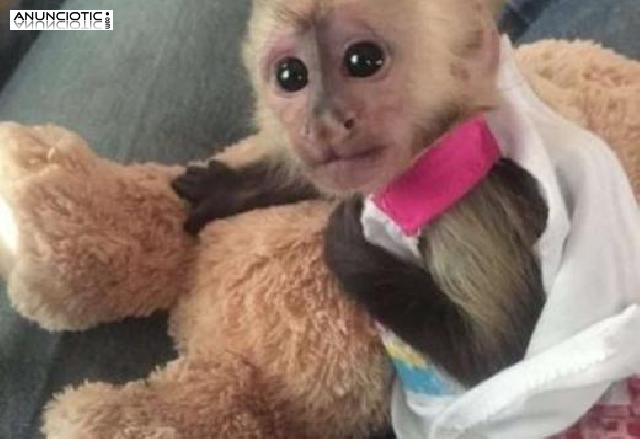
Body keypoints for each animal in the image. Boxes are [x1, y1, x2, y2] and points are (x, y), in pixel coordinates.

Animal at [172, 0, 547, 389]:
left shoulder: (466, 200)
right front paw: (227, 188)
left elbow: (499, 356)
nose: (321, 124)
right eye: (290, 75)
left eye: (363, 60)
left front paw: (344, 243)